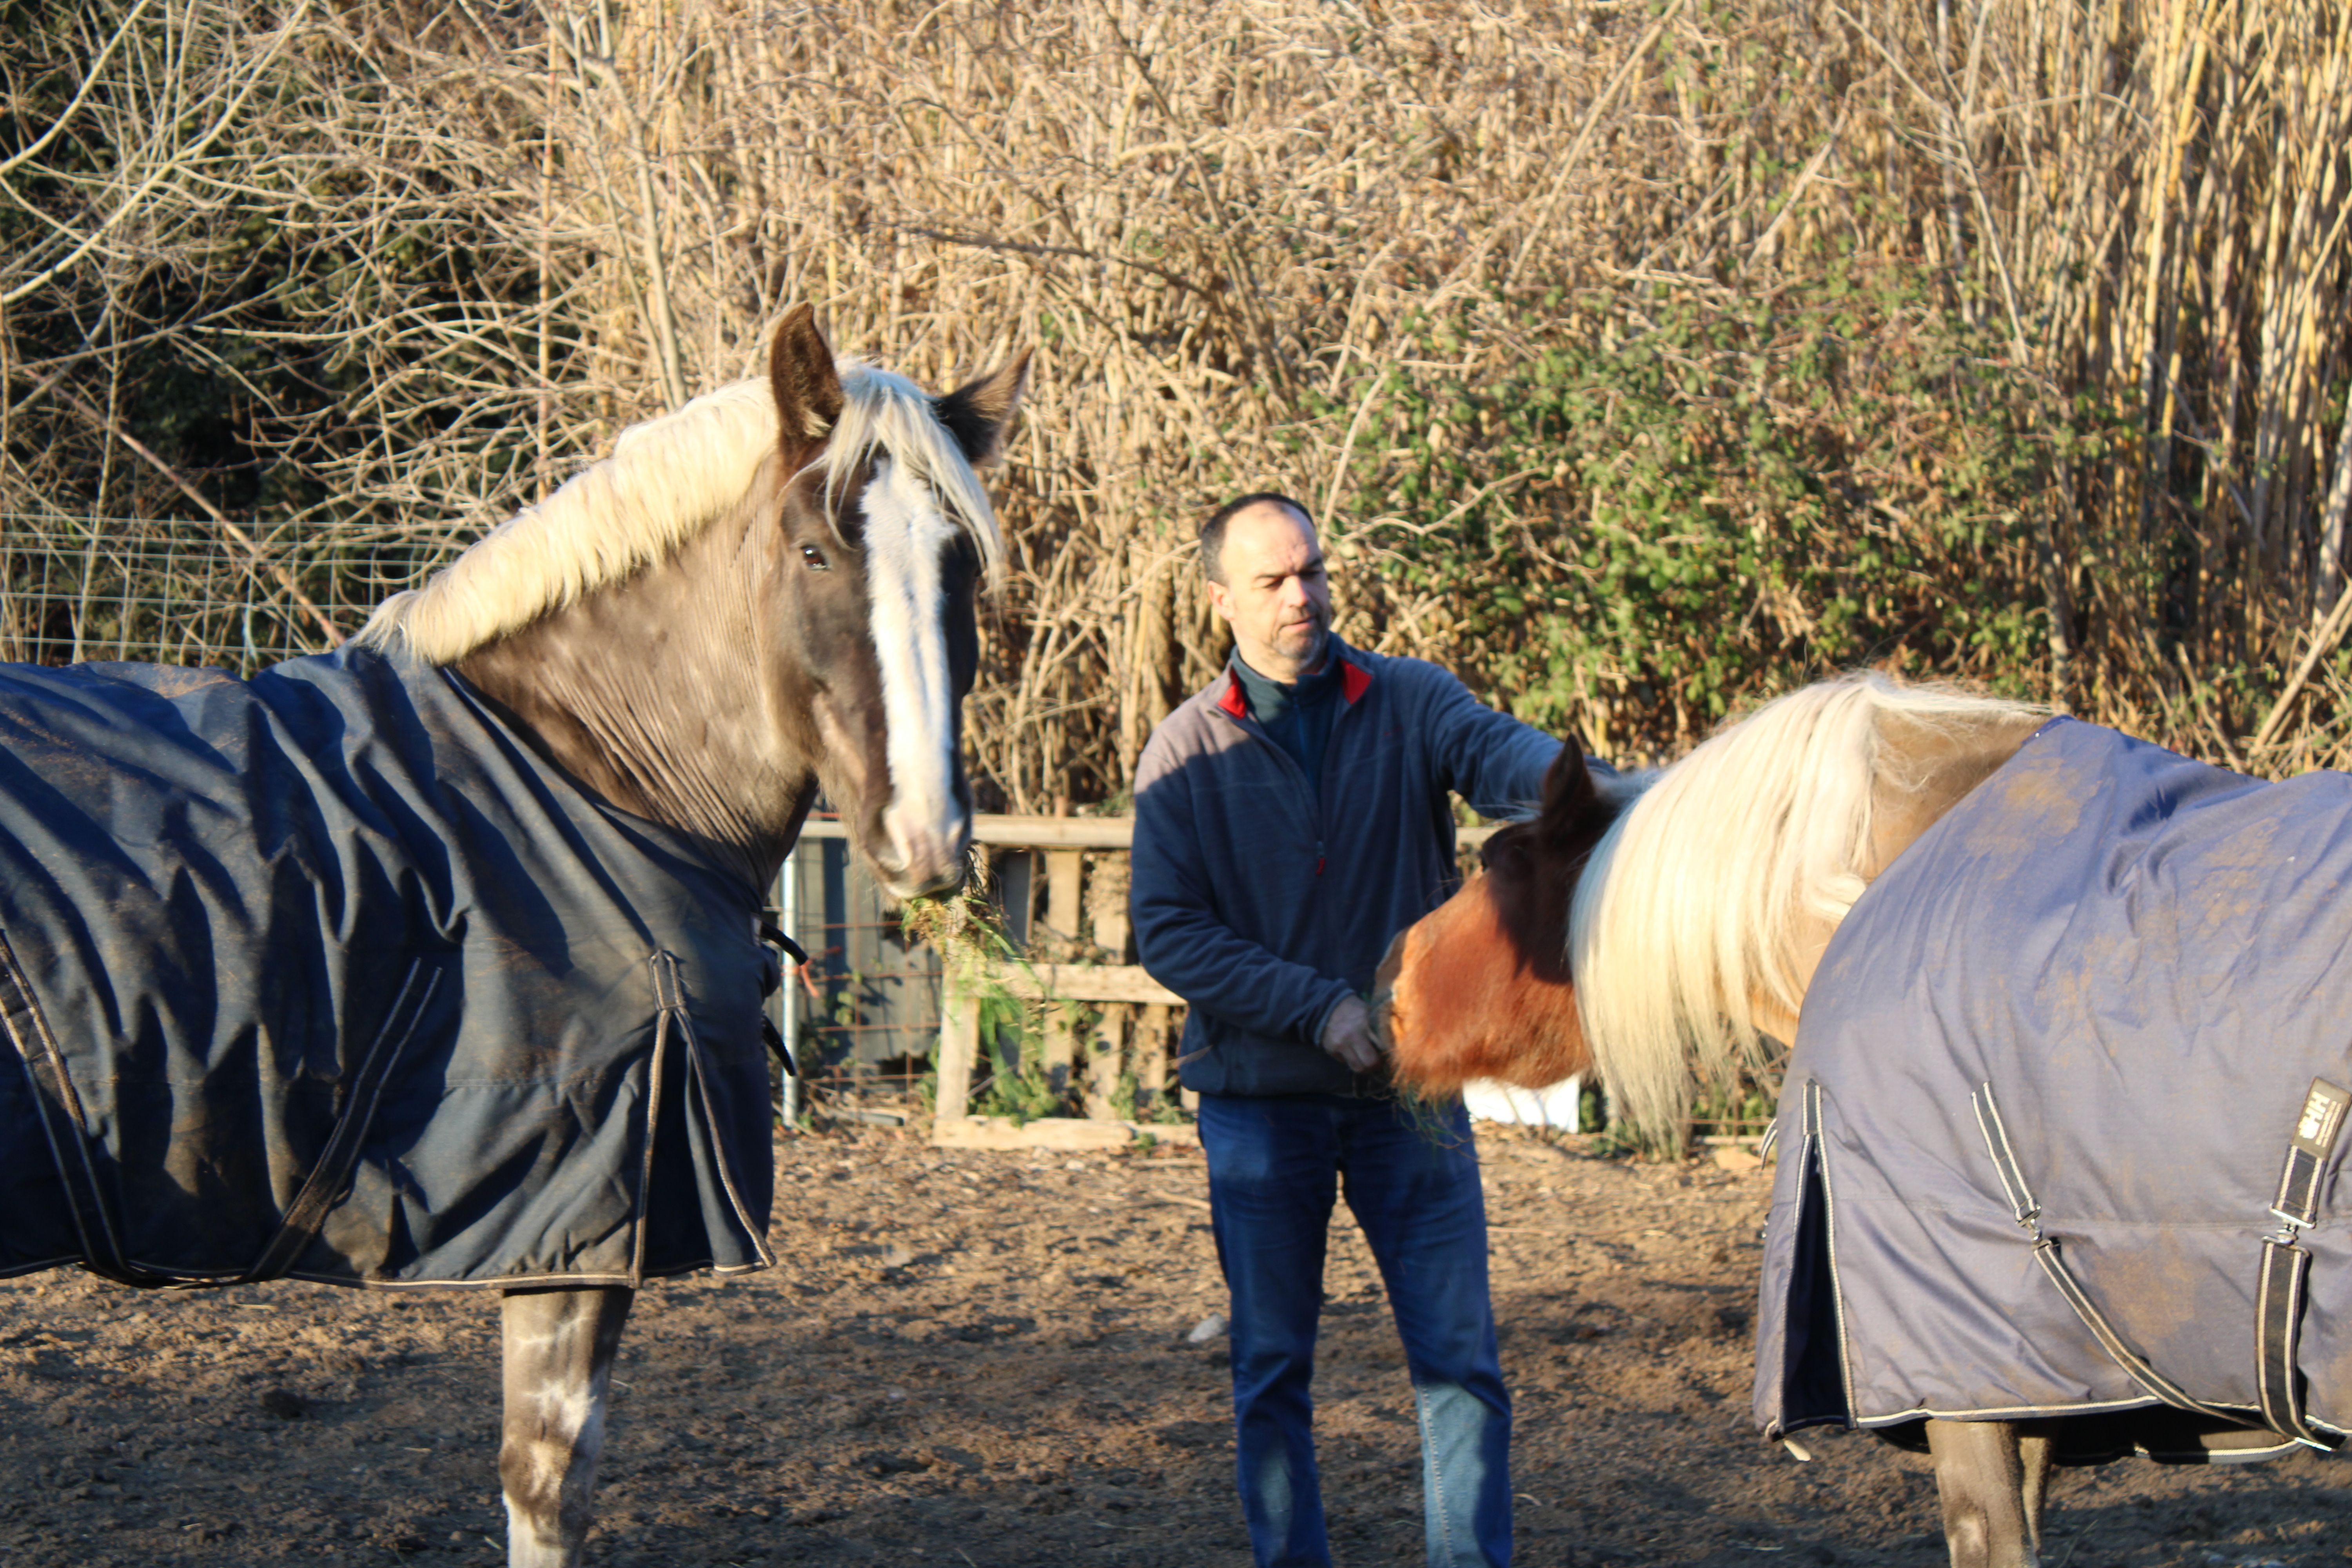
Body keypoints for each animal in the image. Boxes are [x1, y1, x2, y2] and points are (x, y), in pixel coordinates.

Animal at [2, 310, 1030, 1568]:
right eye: (814, 553)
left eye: (963, 564)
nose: (928, 840)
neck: (585, 774)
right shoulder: (581, 1213)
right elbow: (547, 1484)